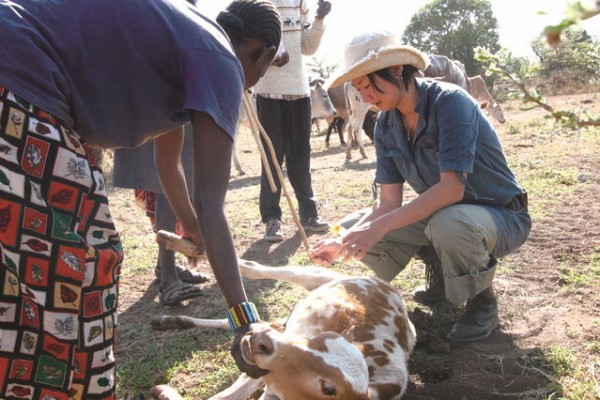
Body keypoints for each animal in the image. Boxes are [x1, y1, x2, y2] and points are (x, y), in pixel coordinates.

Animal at [149, 260, 418, 400]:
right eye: (322, 337)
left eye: (329, 388)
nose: (263, 341)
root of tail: (386, 286)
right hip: (315, 276)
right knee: (271, 271)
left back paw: (172, 321)